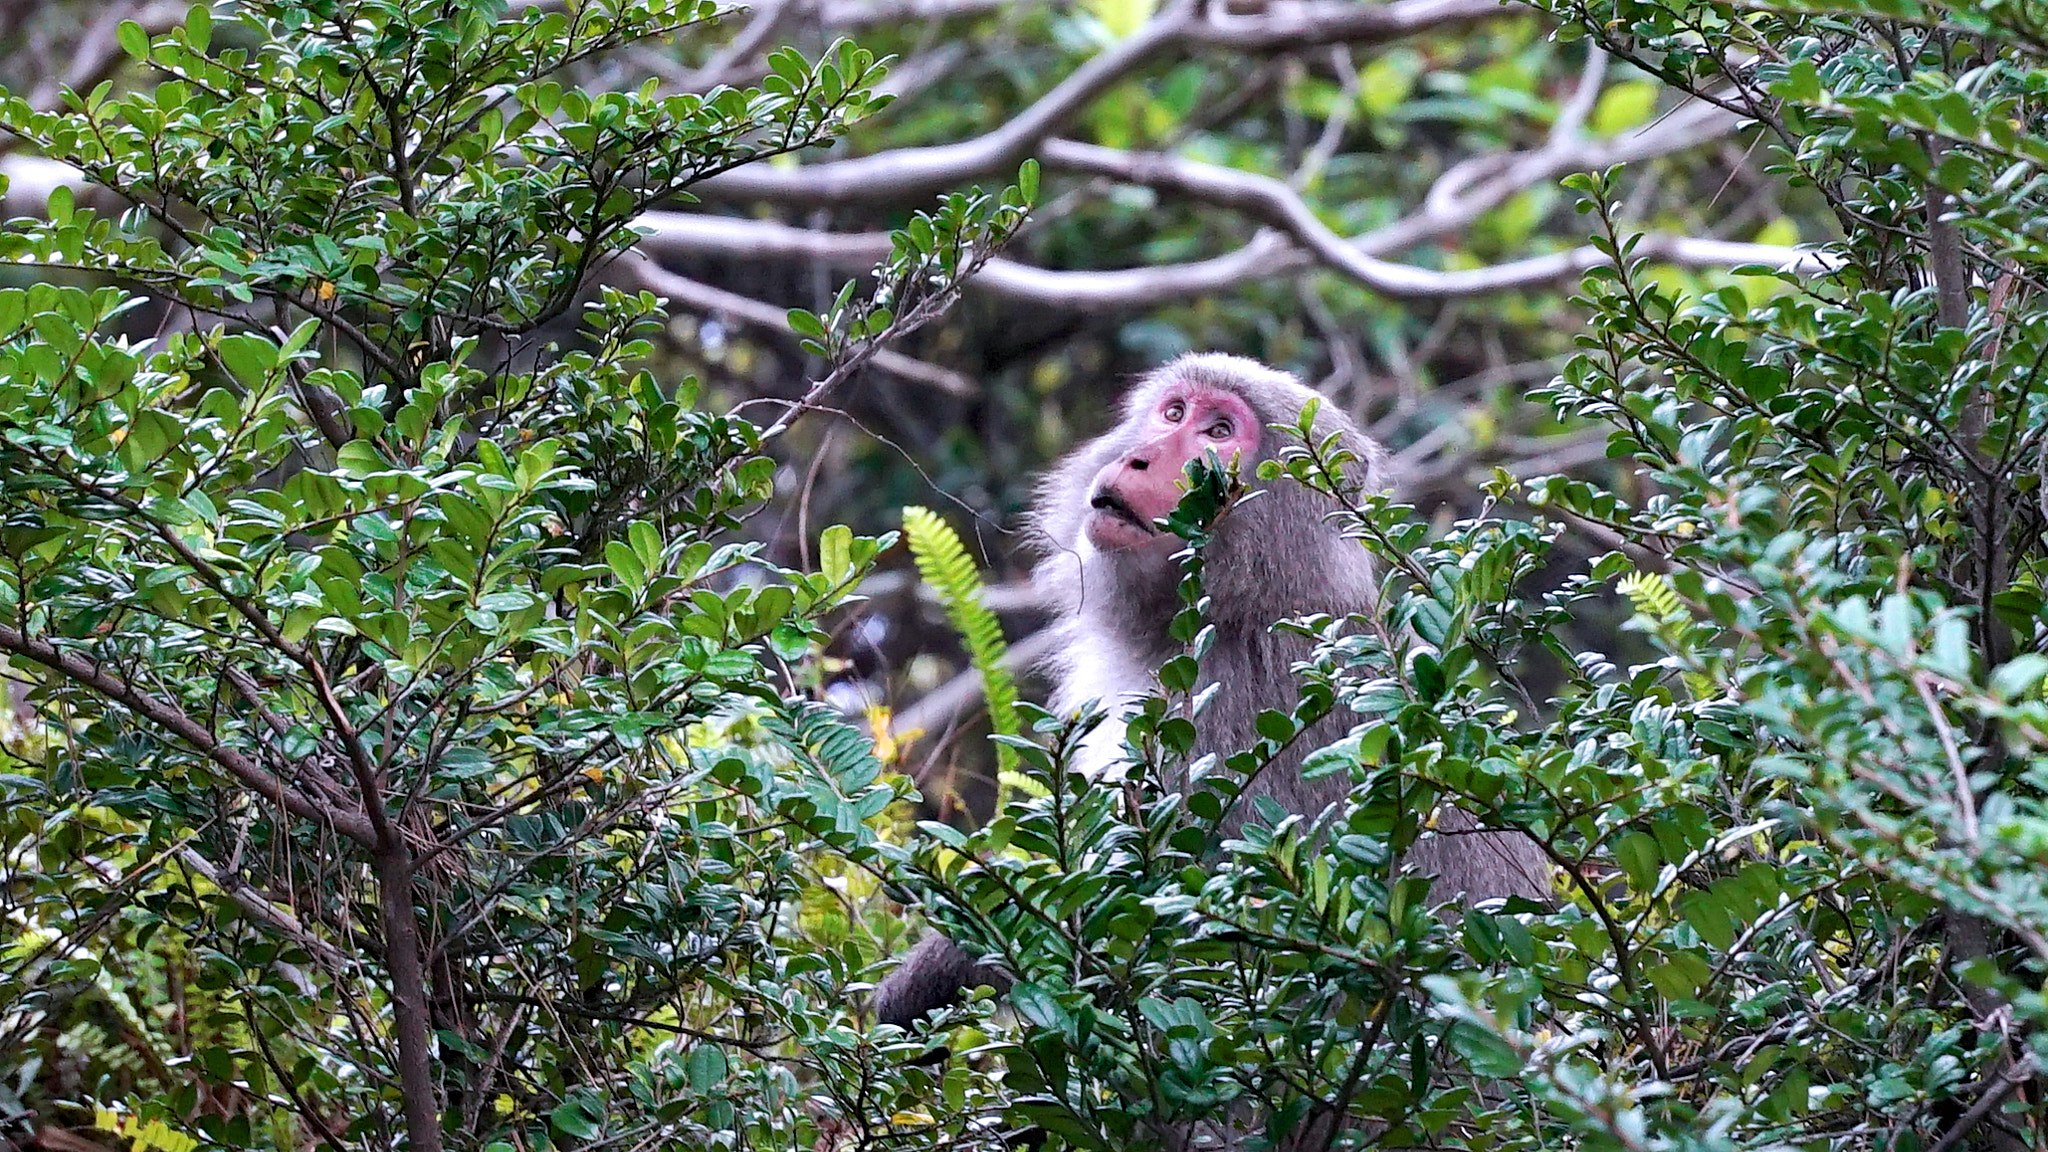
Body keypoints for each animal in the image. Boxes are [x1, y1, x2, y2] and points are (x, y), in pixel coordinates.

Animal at [873, 352, 1550, 1031]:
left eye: (1220, 432)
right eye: (1174, 413)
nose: (1139, 458)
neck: (1242, 609)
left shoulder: (1227, 715)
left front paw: (917, 985)